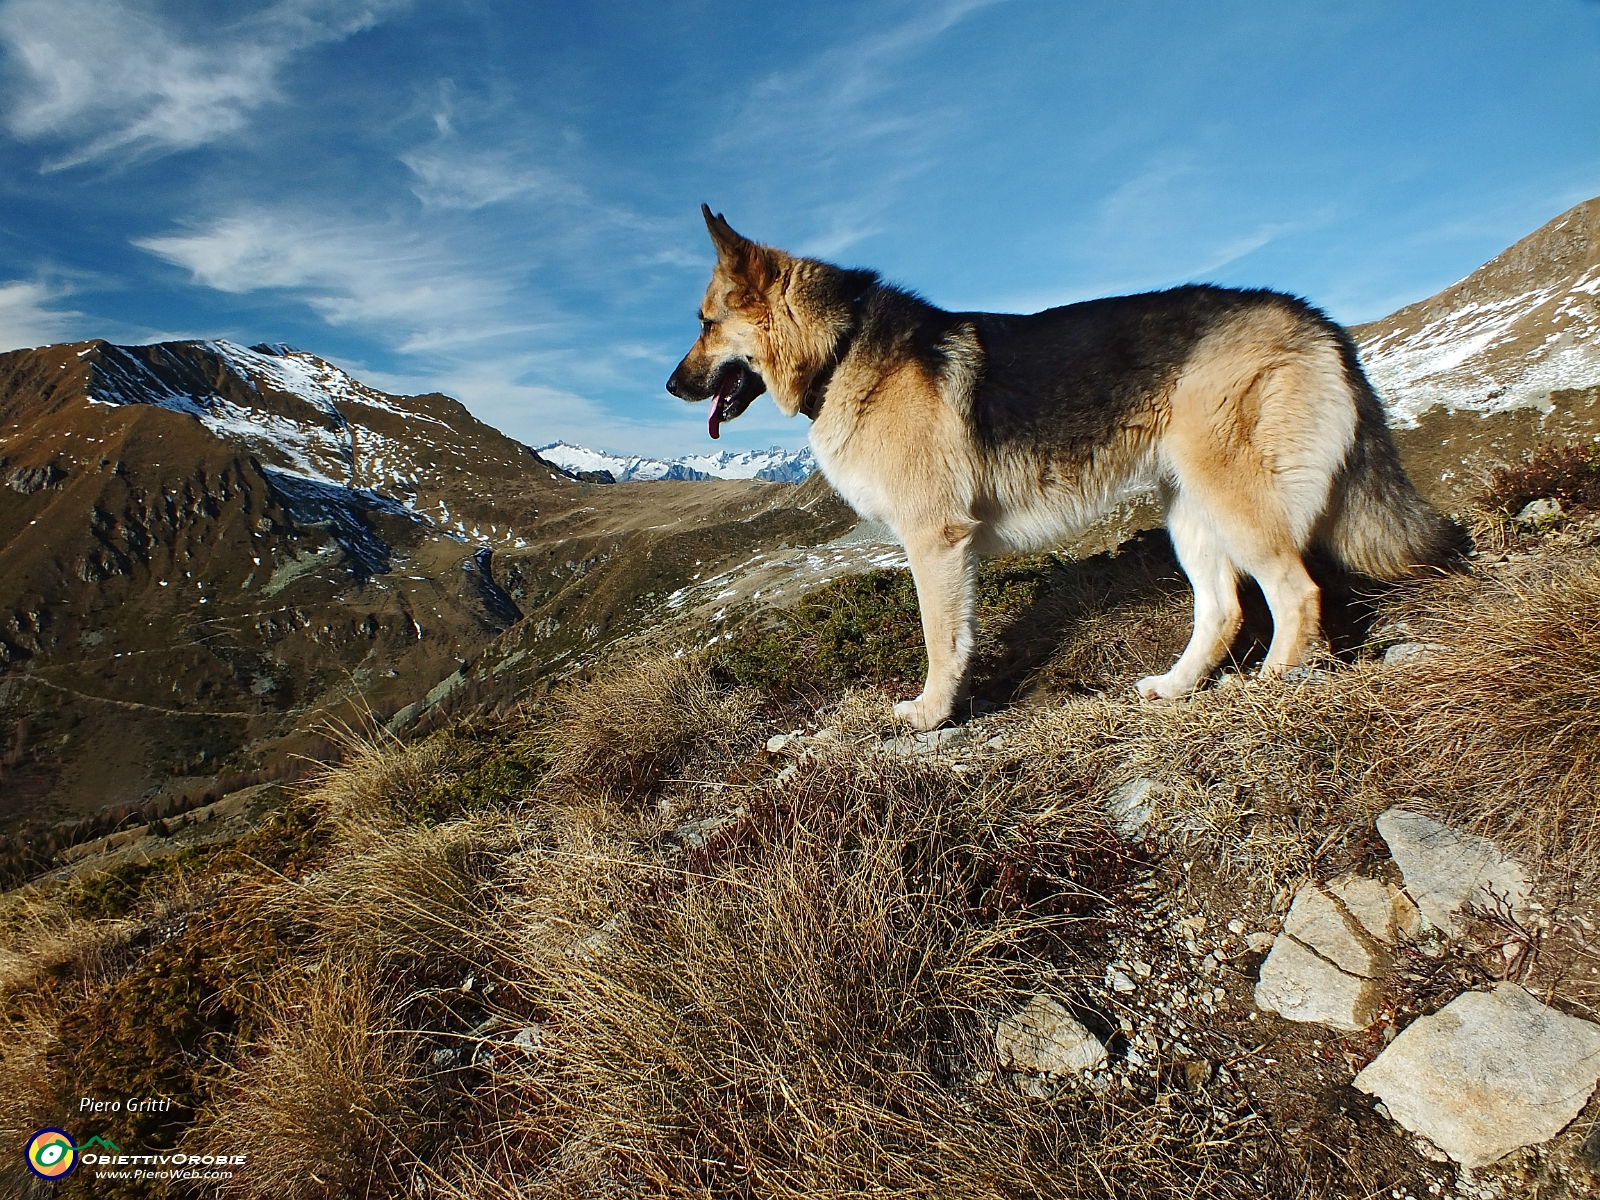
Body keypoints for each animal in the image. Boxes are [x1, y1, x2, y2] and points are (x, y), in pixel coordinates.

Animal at [662, 208, 1465, 732]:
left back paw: (1271, 686)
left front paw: (931, 714)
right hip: (1187, 509)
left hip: (1233, 498)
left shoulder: (935, 542)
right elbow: (958, 636)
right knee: (1225, 609)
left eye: (705, 323)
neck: (841, 346)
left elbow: (941, 641)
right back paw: (1176, 687)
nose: (670, 386)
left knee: (1297, 593)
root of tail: (1316, 318)